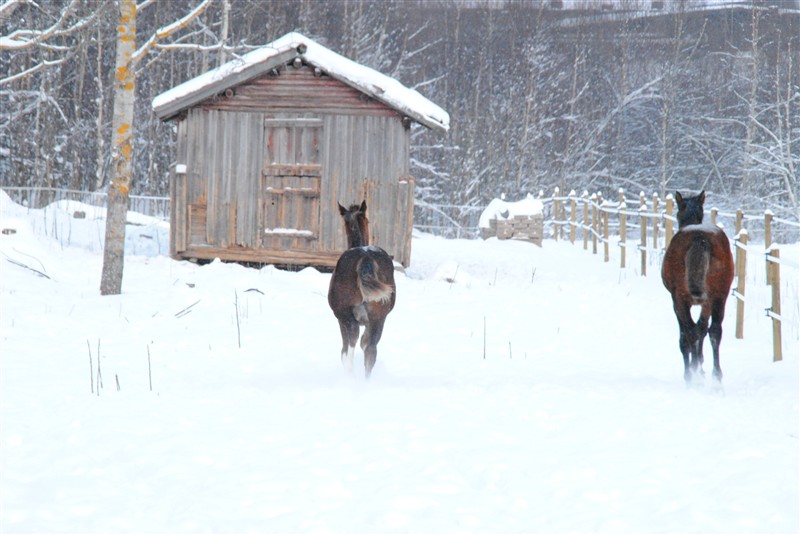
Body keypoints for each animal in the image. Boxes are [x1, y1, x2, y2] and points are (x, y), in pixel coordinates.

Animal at [328, 202, 396, 382]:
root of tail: (366, 258)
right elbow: (365, 344)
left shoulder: (341, 318)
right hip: (379, 317)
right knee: (370, 349)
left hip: (346, 315)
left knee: (350, 345)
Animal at [664, 193, 732, 386]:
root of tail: (699, 237)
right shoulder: (708, 302)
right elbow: (703, 329)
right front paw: (701, 365)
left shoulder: (676, 302)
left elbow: (686, 336)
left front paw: (694, 369)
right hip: (719, 297)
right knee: (714, 331)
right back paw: (716, 378)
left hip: (682, 300)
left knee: (690, 333)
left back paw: (692, 374)